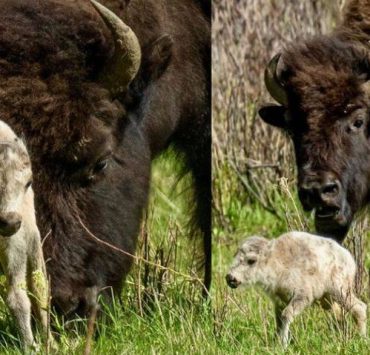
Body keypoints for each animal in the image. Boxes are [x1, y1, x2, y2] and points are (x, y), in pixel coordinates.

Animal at [225, 232, 368, 350]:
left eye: (251, 261)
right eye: (235, 255)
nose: (230, 278)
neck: (277, 262)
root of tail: (349, 259)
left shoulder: (303, 296)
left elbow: (286, 315)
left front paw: (283, 344)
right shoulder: (279, 301)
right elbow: (279, 321)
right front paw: (276, 342)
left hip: (340, 291)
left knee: (359, 308)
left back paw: (362, 338)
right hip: (327, 300)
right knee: (338, 316)